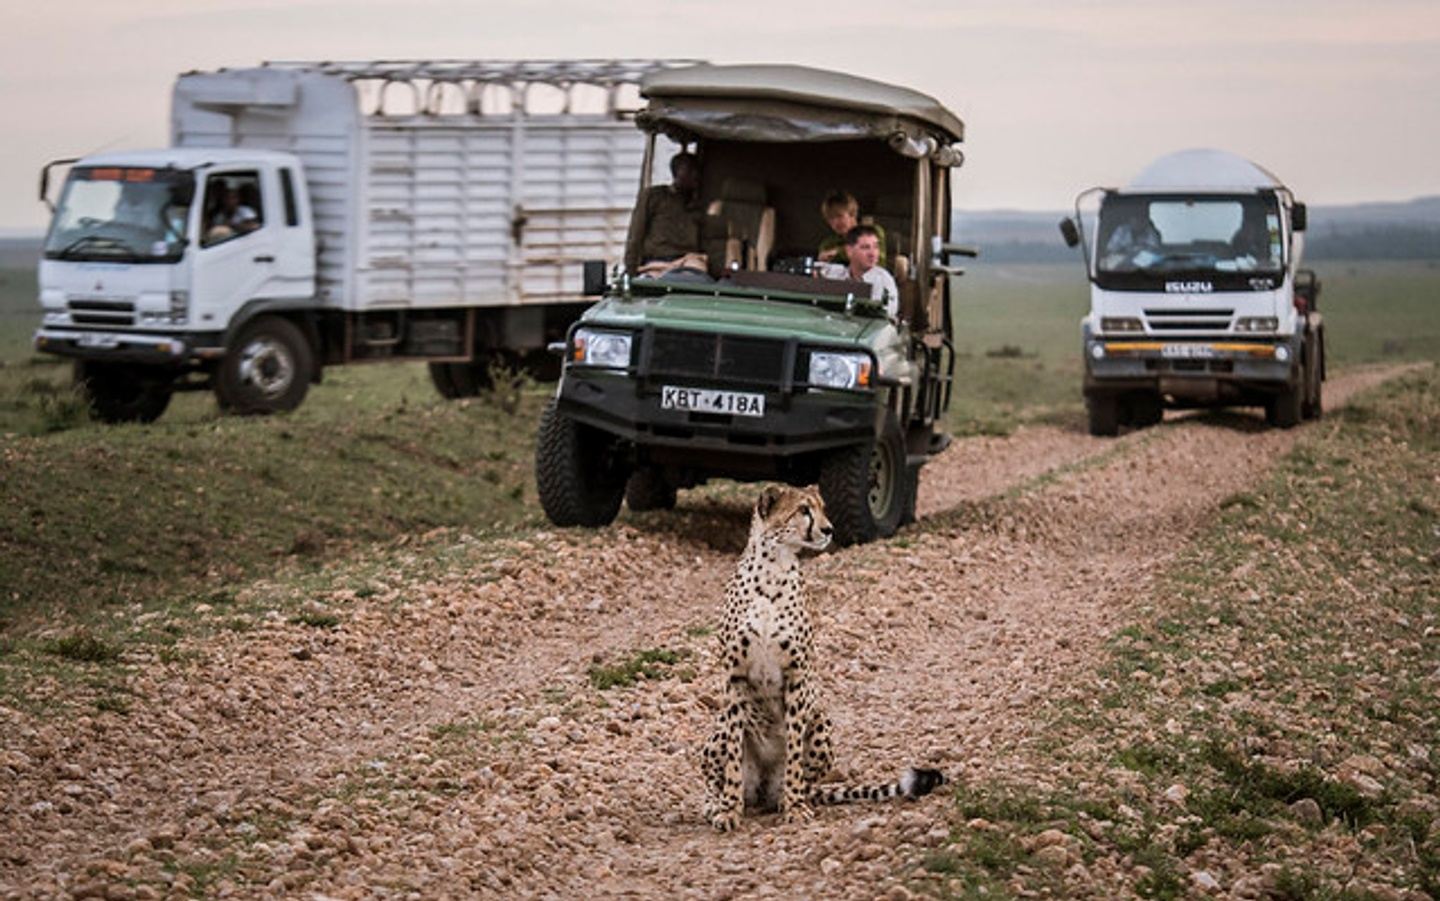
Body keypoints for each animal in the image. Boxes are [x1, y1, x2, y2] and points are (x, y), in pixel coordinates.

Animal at [699, 483, 944, 829]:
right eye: (803, 510)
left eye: (823, 509)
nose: (829, 529)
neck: (772, 568)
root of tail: (761, 790)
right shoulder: (734, 675)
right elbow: (734, 755)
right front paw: (729, 810)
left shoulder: (797, 675)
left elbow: (794, 752)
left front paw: (794, 807)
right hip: (719, 723)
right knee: (711, 773)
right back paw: (716, 802)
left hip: (821, 721)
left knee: (805, 780)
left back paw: (788, 798)